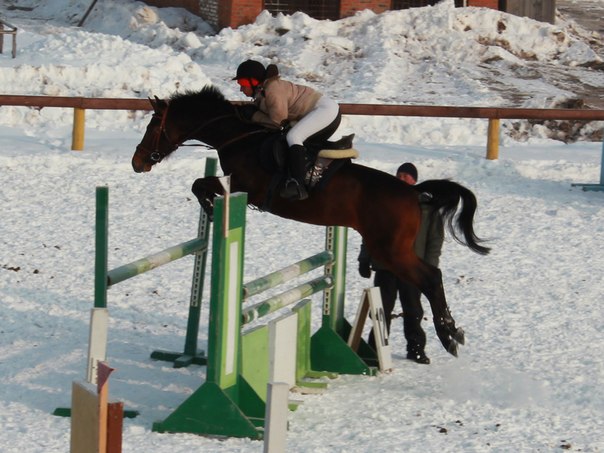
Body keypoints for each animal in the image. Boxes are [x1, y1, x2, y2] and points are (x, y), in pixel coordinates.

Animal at [132, 85, 490, 357]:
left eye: (152, 127)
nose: (138, 162)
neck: (237, 137)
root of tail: (413, 192)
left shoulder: (247, 188)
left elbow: (200, 185)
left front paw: (210, 208)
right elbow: (199, 184)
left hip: (390, 251)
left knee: (431, 277)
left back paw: (449, 335)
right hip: (390, 249)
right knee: (429, 278)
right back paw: (451, 333)